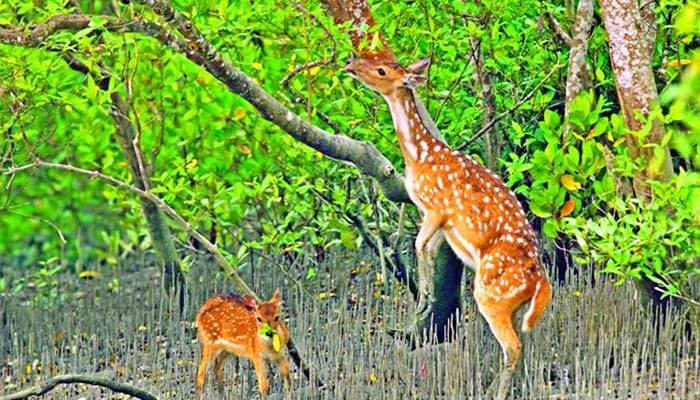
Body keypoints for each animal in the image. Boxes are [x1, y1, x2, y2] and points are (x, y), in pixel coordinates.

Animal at [344, 55, 552, 376]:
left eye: (382, 69)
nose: (350, 63)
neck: (419, 157)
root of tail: (541, 282)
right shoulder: (440, 221)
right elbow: (427, 250)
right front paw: (425, 301)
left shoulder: (436, 207)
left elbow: (418, 246)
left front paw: (424, 299)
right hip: (515, 305)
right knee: (524, 341)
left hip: (491, 295)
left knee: (513, 347)